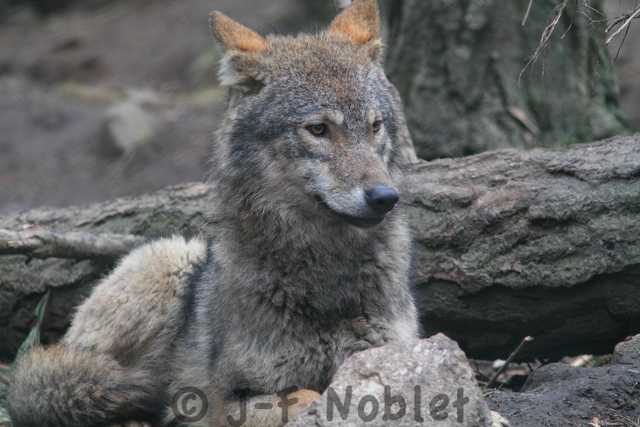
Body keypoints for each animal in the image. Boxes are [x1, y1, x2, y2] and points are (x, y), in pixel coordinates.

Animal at [8, 1, 420, 426]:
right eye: (318, 129)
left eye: (375, 126)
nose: (384, 197)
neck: (327, 271)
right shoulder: (219, 401)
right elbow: (301, 395)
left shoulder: (393, 351)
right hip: (166, 258)